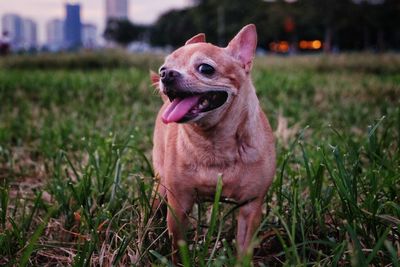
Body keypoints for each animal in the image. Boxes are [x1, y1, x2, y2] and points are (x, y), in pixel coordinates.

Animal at [151, 24, 276, 262]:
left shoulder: (250, 207)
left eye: (205, 69)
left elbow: (244, 248)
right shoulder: (178, 206)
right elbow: (178, 247)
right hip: (160, 187)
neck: (214, 144)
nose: (165, 74)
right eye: (163, 67)